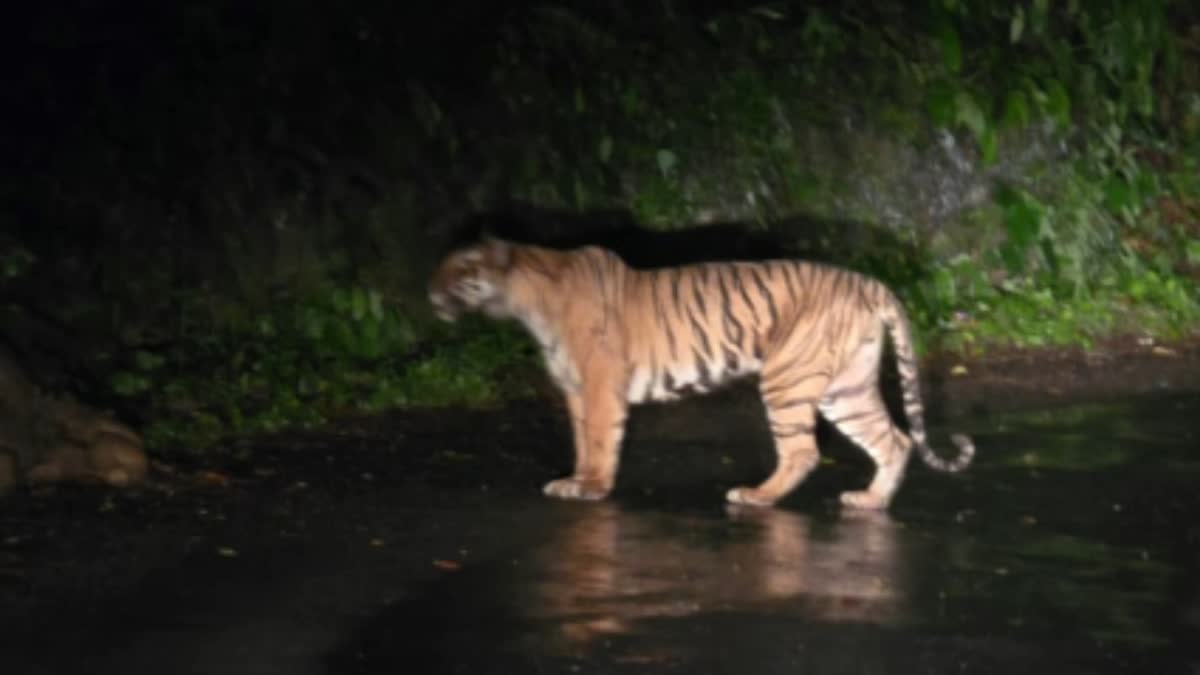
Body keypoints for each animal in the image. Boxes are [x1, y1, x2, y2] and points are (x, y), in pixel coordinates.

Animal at [428, 236, 974, 510]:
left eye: (460, 269)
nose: (429, 294)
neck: (525, 301)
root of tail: (869, 282)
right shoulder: (575, 389)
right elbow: (583, 440)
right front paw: (576, 480)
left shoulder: (601, 384)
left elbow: (601, 438)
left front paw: (593, 488)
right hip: (846, 387)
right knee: (894, 440)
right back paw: (870, 501)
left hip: (787, 379)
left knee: (803, 451)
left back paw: (756, 496)